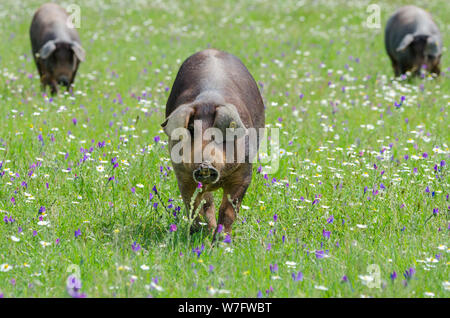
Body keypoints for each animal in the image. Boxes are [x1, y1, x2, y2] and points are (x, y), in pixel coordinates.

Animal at [163, 48, 266, 240]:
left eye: (219, 133)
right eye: (191, 129)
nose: (205, 165)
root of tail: (211, 50)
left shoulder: (244, 173)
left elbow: (228, 210)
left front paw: (222, 240)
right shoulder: (183, 176)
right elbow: (197, 207)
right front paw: (200, 235)